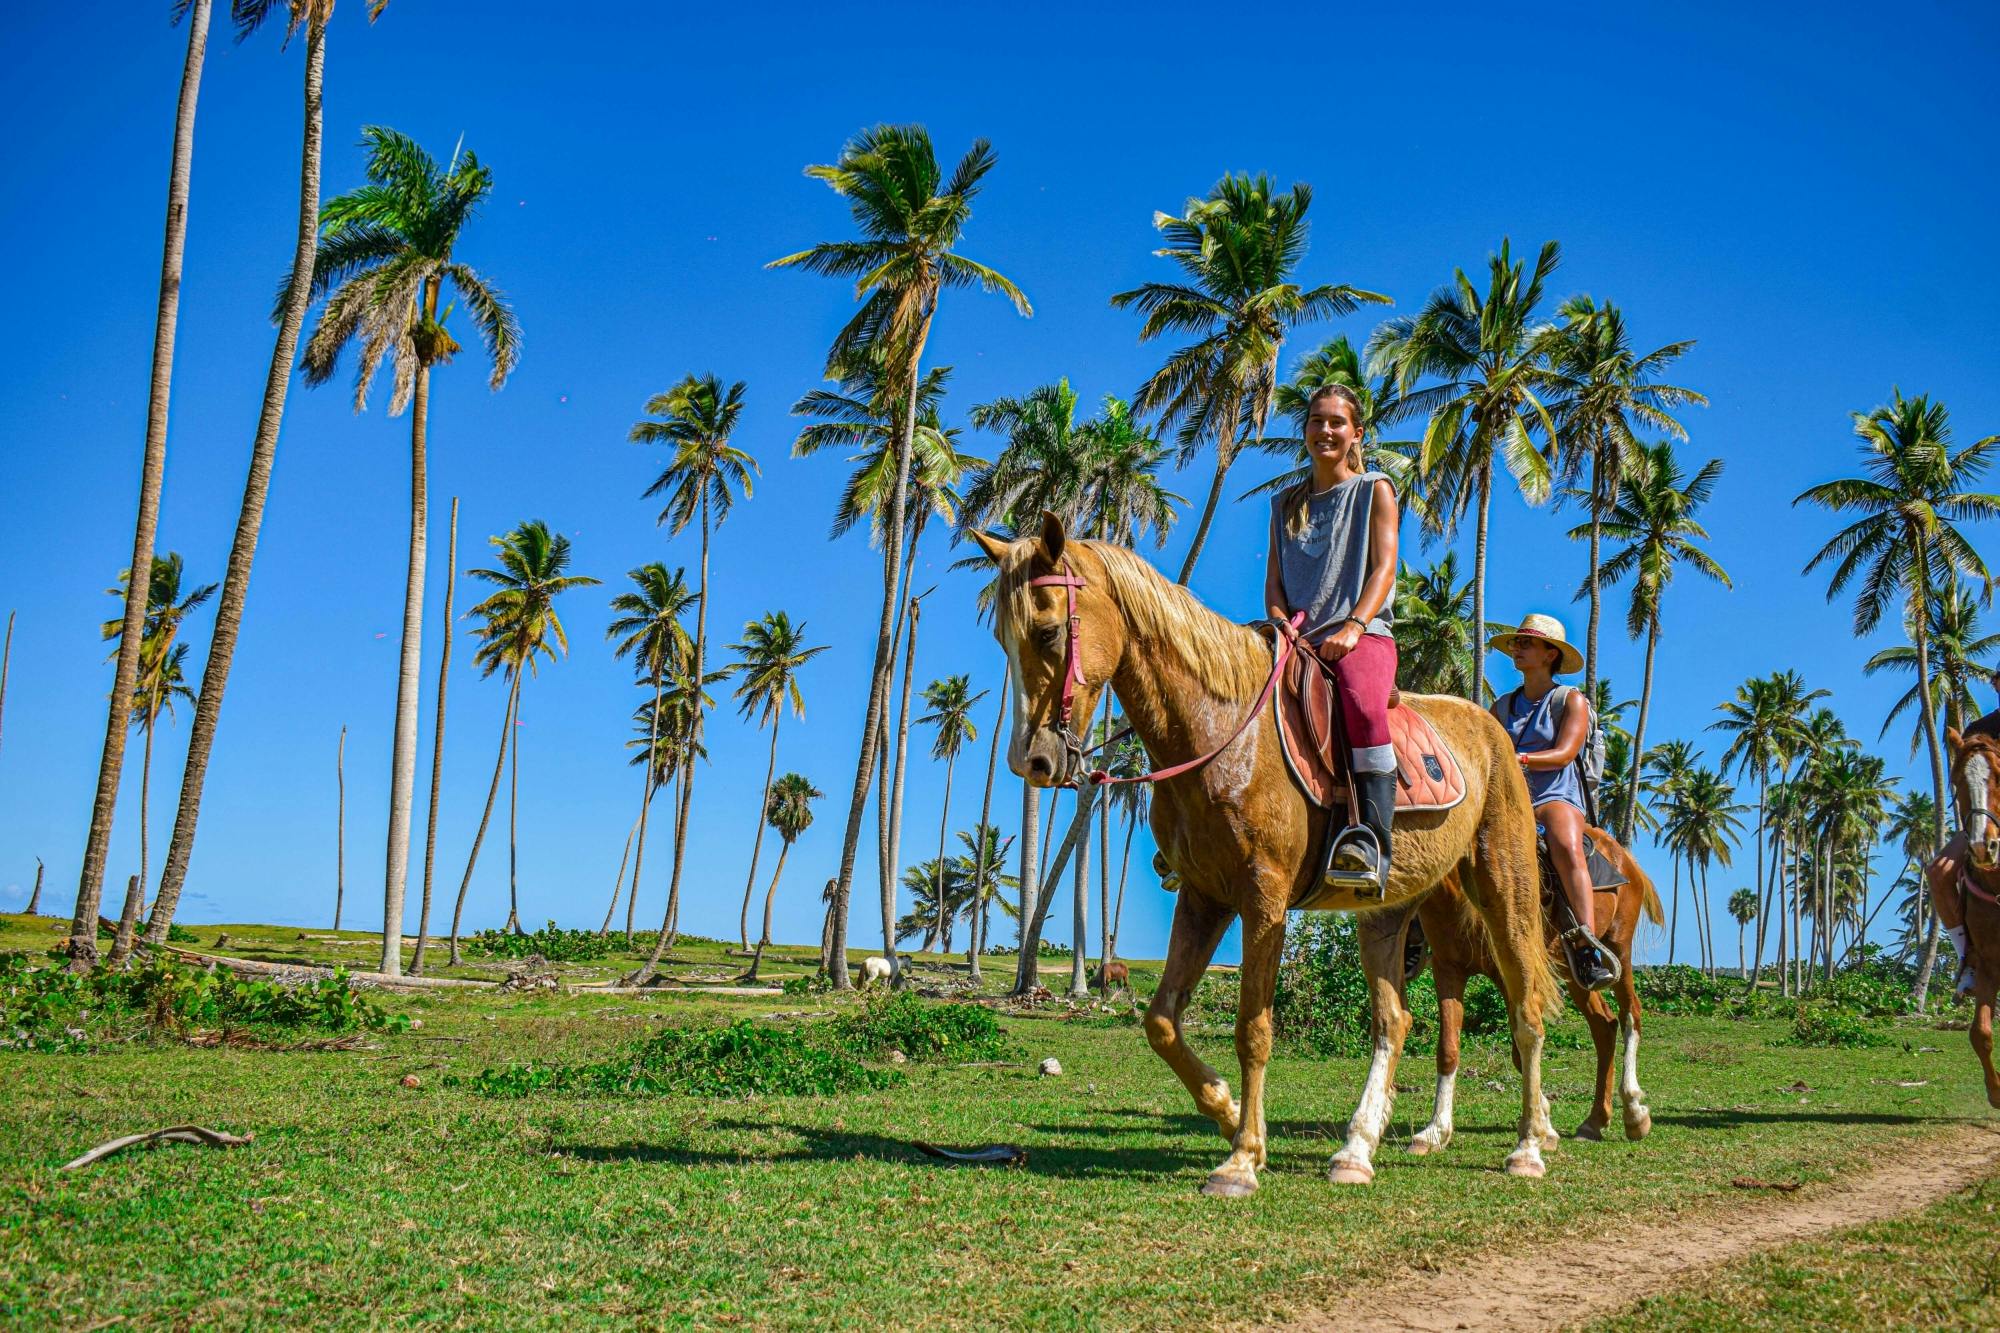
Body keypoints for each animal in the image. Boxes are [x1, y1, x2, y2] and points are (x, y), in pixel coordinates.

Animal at [968, 520, 1560, 1192]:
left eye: (1046, 632)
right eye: (1002, 638)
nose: (1031, 762)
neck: (1221, 731)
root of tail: (1493, 731)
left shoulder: (1263, 897)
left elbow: (1253, 1027)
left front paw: (1242, 1157)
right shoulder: (1204, 896)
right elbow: (1161, 1021)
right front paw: (1227, 1112)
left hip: (1505, 890)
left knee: (1526, 1010)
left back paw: (1528, 1146)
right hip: (1386, 912)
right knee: (1394, 1021)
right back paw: (1357, 1148)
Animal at [1400, 820, 1664, 1152]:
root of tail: (1623, 857)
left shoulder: (1514, 976)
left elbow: (1520, 1047)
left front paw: (1542, 1125)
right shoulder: (1448, 970)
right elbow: (1448, 1048)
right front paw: (1434, 1132)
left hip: (1619, 948)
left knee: (1631, 1014)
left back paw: (1634, 1113)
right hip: (1574, 973)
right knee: (1604, 1025)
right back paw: (1594, 1121)